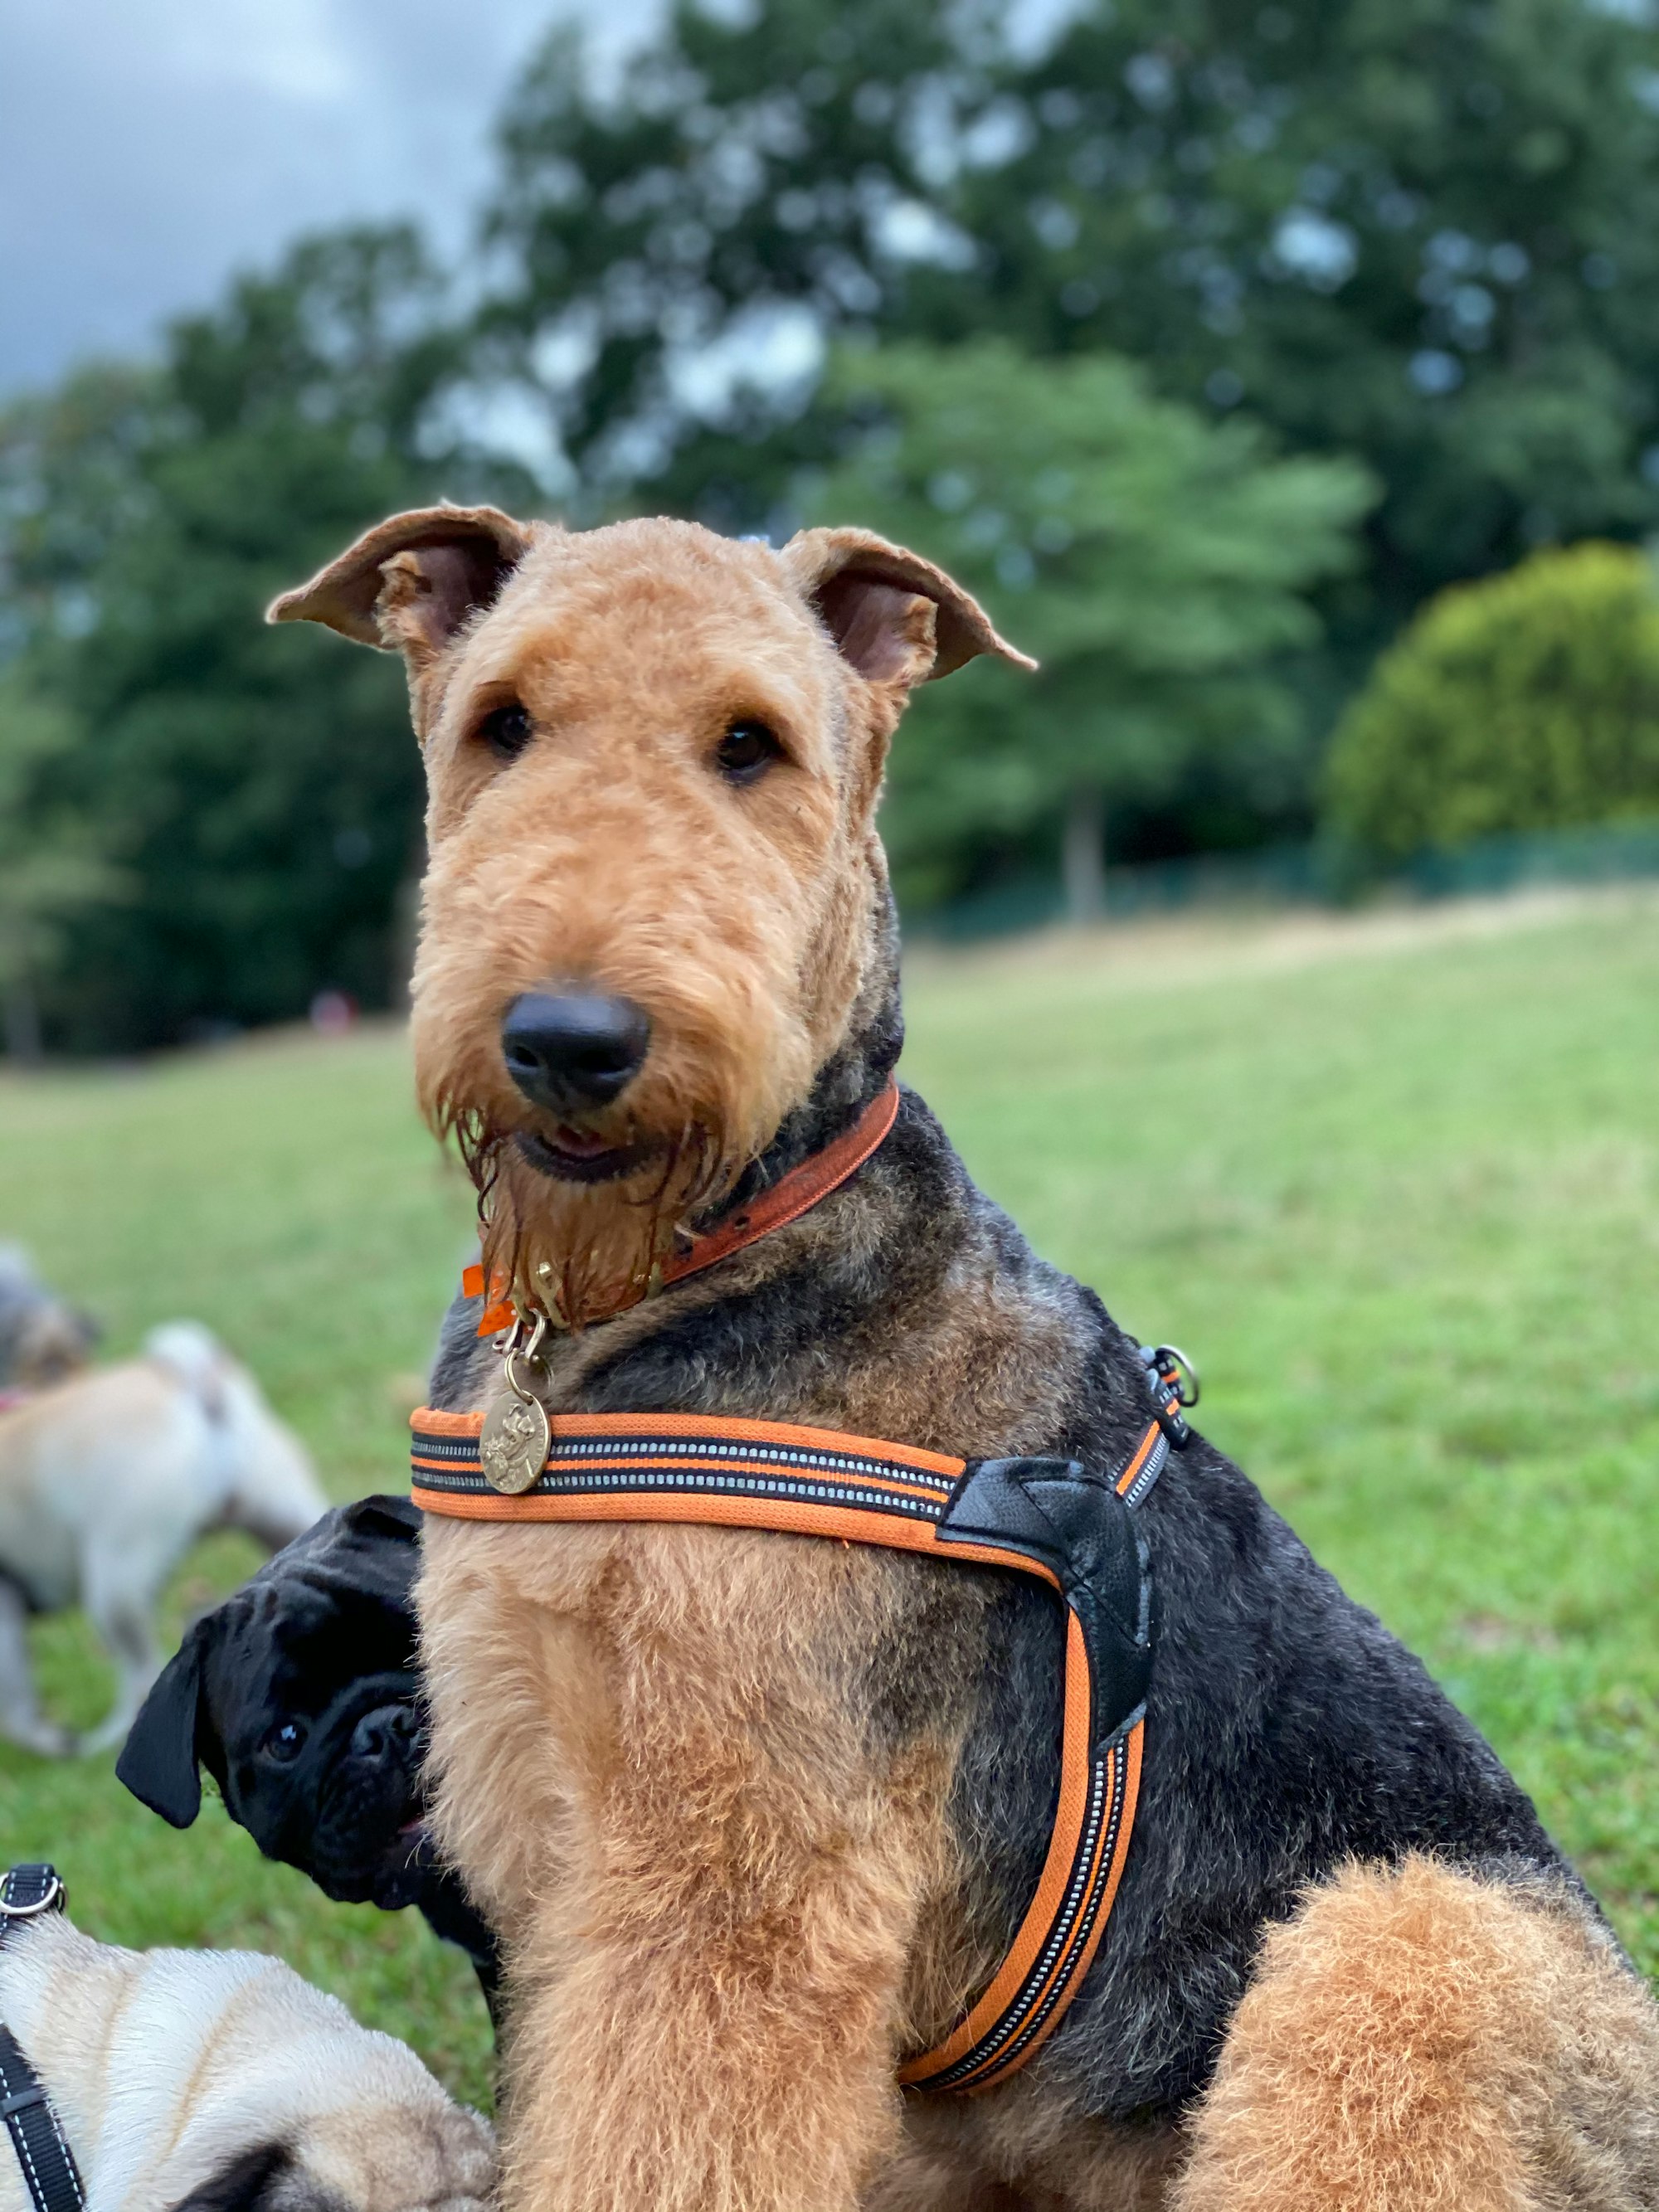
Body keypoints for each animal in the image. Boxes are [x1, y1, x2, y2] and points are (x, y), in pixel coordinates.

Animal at [273, 508, 1659, 2212]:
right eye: (504, 722)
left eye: (751, 743)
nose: (569, 1039)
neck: (671, 1278)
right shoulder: (546, 1819)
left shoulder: (728, 1886)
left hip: (1398, 1938)